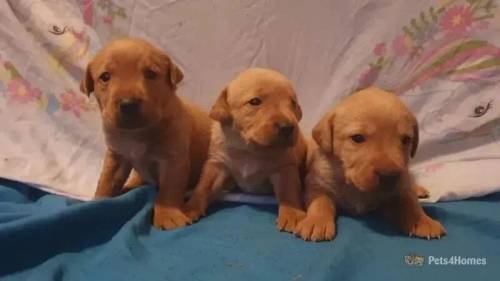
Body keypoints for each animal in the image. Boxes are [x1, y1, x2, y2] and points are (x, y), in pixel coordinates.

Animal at [79, 37, 211, 230]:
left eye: (150, 74)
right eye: (105, 77)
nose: (128, 104)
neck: (136, 133)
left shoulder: (173, 160)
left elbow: (169, 190)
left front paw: (168, 215)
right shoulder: (117, 156)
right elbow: (106, 181)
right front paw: (97, 202)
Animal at [182, 68, 306, 232]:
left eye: (293, 103)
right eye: (255, 102)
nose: (288, 127)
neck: (249, 150)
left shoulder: (285, 167)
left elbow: (288, 191)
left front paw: (293, 214)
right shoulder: (217, 163)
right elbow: (203, 186)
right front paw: (190, 208)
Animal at [292, 87, 446, 241]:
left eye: (406, 139)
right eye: (357, 138)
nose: (389, 176)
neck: (354, 187)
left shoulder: (399, 189)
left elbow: (409, 201)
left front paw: (423, 221)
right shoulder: (317, 184)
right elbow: (320, 202)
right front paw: (316, 221)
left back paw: (418, 189)